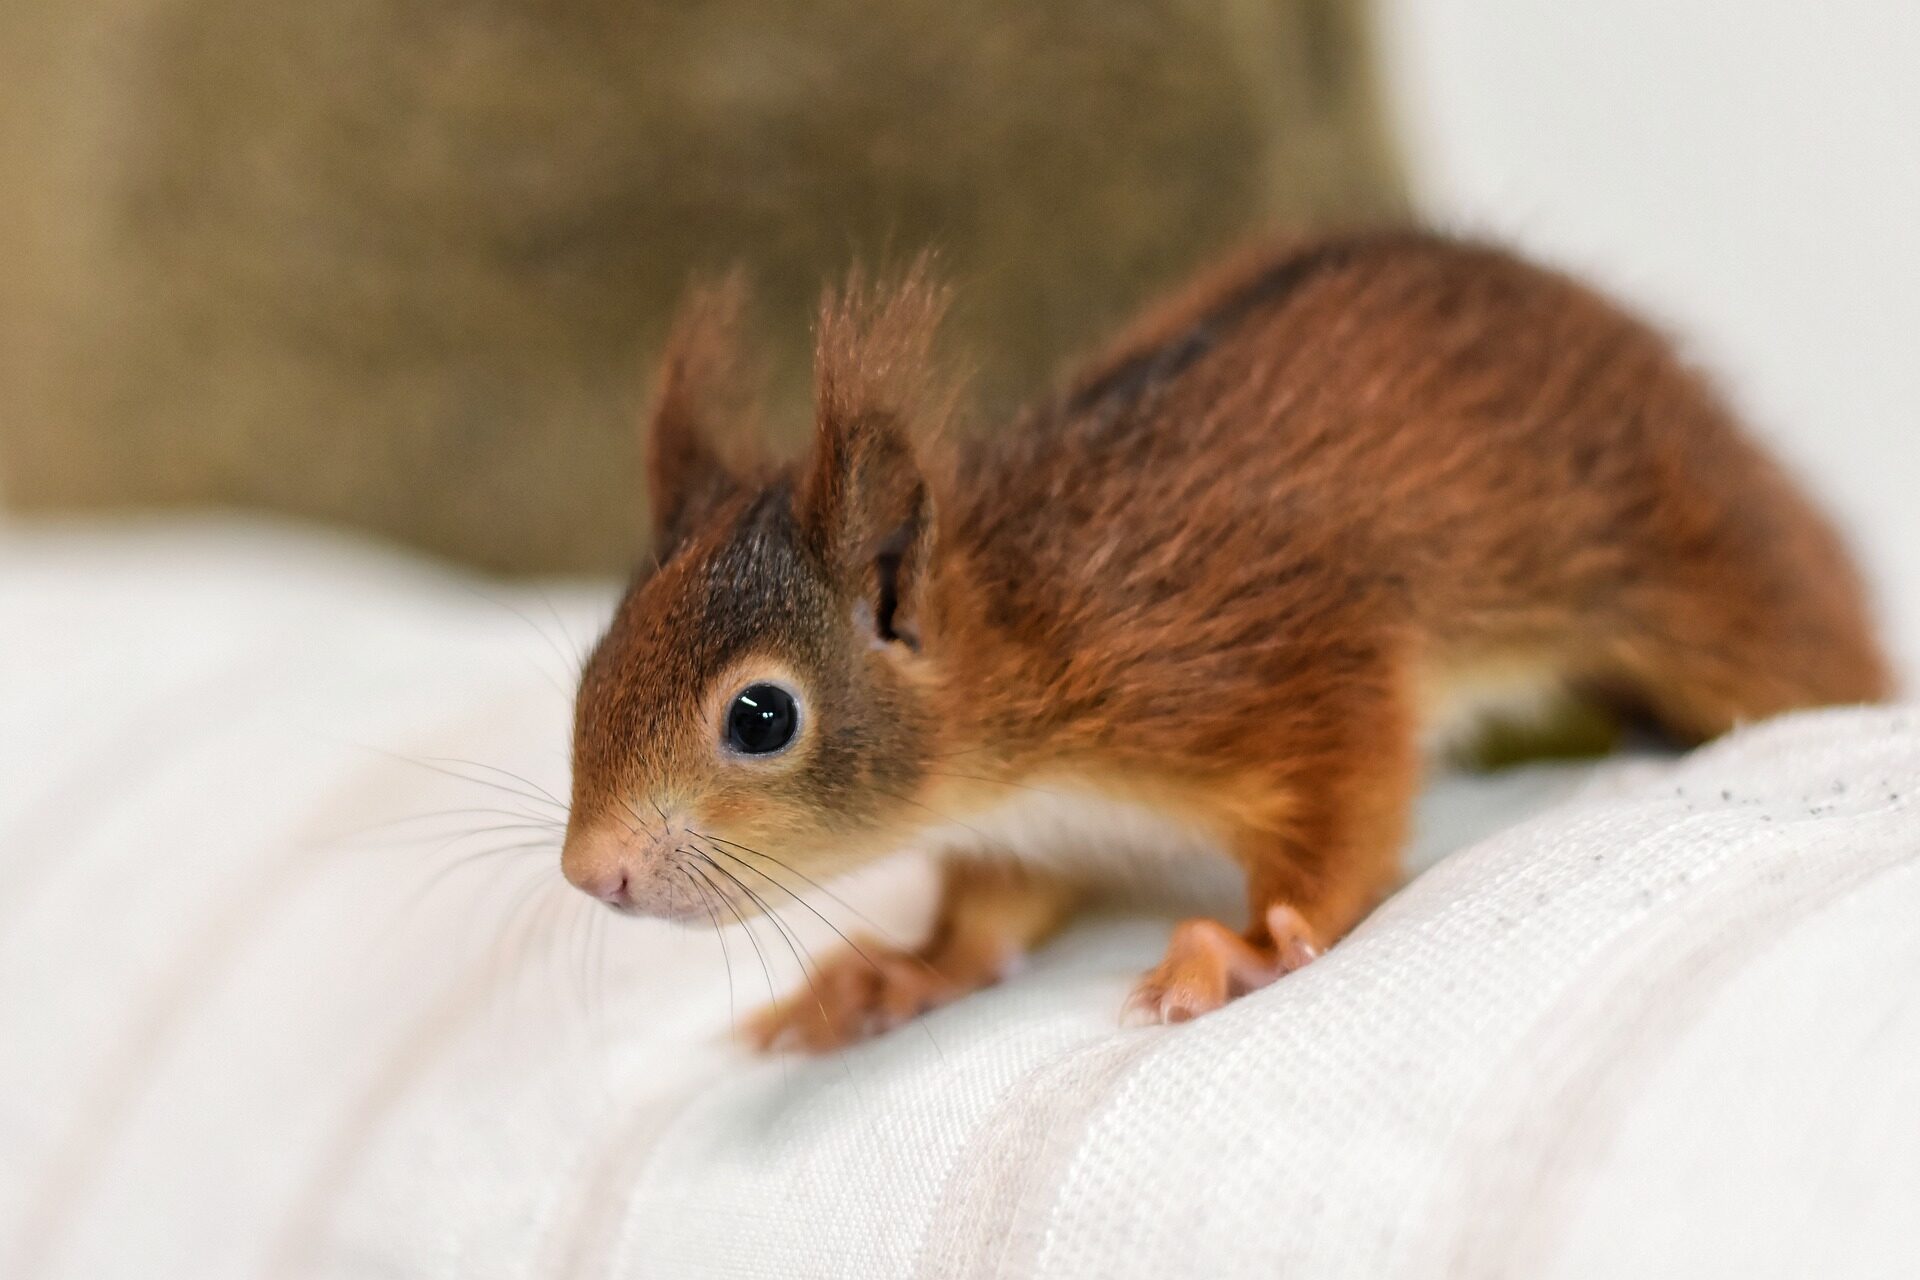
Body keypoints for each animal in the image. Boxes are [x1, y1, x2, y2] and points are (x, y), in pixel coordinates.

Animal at [556, 233, 1889, 1051]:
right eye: (591, 666)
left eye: (761, 715)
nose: (589, 875)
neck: (1029, 631)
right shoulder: (1032, 829)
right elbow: (990, 920)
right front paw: (897, 973)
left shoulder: (1263, 660)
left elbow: (1343, 805)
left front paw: (1247, 947)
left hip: (1716, 582)